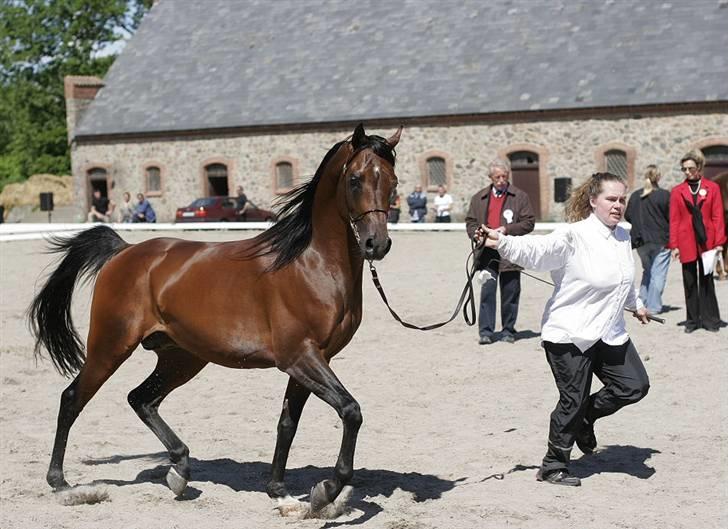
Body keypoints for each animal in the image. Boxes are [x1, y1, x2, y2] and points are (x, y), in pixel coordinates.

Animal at [28, 122, 400, 512]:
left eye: (393, 181)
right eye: (355, 179)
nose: (376, 244)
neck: (310, 264)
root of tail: (124, 252)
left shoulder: (311, 361)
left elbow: (287, 424)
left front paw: (280, 491)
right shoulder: (300, 357)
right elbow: (350, 411)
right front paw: (326, 490)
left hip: (181, 357)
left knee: (141, 399)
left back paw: (180, 471)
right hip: (111, 345)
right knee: (73, 398)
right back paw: (61, 482)